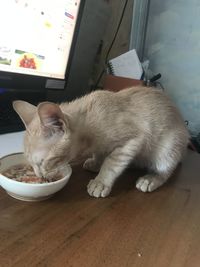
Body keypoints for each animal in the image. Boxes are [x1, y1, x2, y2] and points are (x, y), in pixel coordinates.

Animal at [12, 87, 189, 198]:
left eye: (42, 162)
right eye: (31, 164)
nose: (39, 177)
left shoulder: (134, 138)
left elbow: (111, 163)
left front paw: (101, 181)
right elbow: (100, 154)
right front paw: (96, 163)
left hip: (170, 147)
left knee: (166, 170)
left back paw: (151, 178)